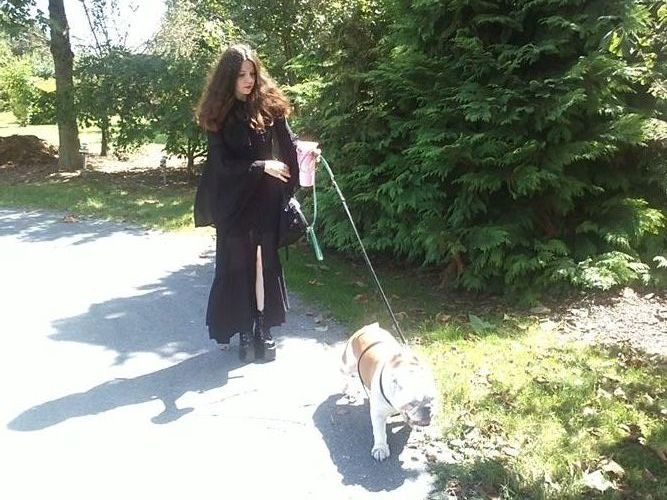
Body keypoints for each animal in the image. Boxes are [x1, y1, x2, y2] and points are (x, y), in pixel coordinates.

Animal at [341, 322, 437, 461]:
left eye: (432, 400)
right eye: (412, 403)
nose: (428, 408)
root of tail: (367, 328)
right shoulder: (378, 414)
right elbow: (380, 433)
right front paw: (380, 448)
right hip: (348, 365)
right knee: (345, 374)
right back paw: (348, 390)